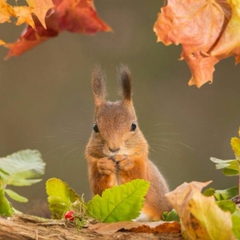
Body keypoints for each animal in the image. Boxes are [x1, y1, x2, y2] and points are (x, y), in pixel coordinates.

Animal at [85, 66, 172, 221]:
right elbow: (101, 189)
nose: (114, 148)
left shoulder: (143, 164)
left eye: (133, 126)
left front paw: (128, 163)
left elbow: (140, 177)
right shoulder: (92, 165)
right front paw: (103, 165)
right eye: (95, 127)